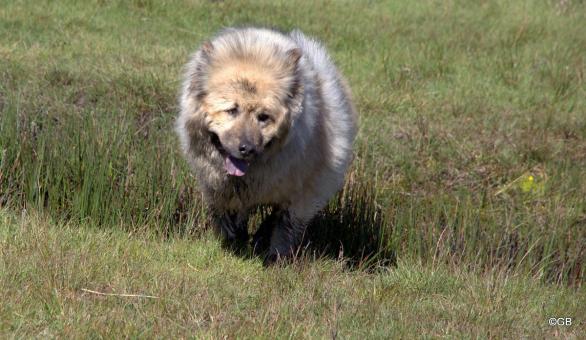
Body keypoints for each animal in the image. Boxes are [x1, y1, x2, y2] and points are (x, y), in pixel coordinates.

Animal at [175, 27, 356, 266]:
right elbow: (226, 215)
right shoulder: (217, 188)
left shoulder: (304, 194)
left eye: (263, 117)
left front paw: (274, 258)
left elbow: (285, 227)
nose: (247, 148)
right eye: (231, 110)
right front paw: (233, 241)